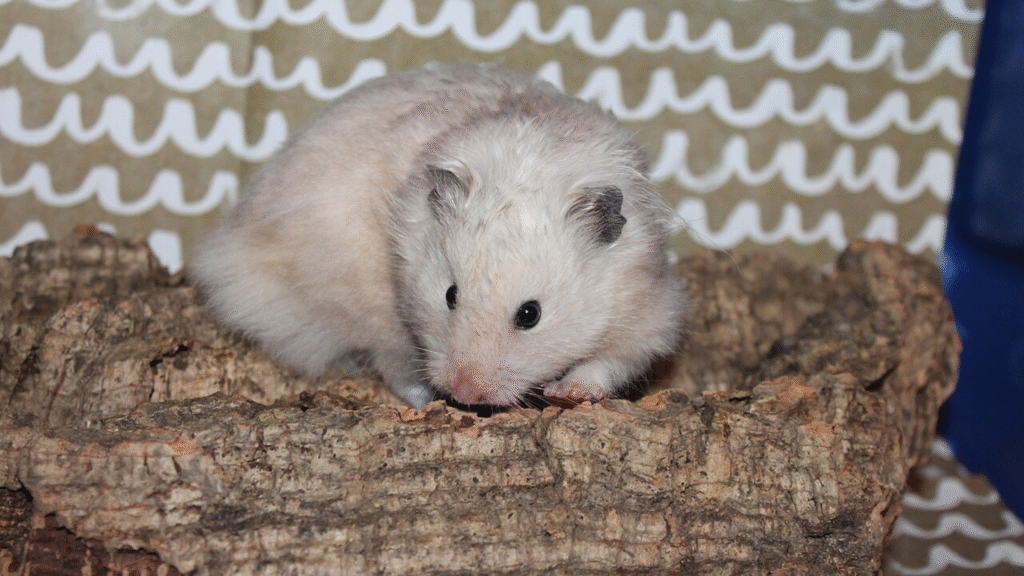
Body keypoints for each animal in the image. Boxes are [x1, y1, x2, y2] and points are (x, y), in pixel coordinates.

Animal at [190, 64, 688, 409]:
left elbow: (610, 361)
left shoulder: (647, 310)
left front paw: (570, 392)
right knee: (389, 363)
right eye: (449, 295)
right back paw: (425, 398)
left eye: (530, 314)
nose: (466, 395)